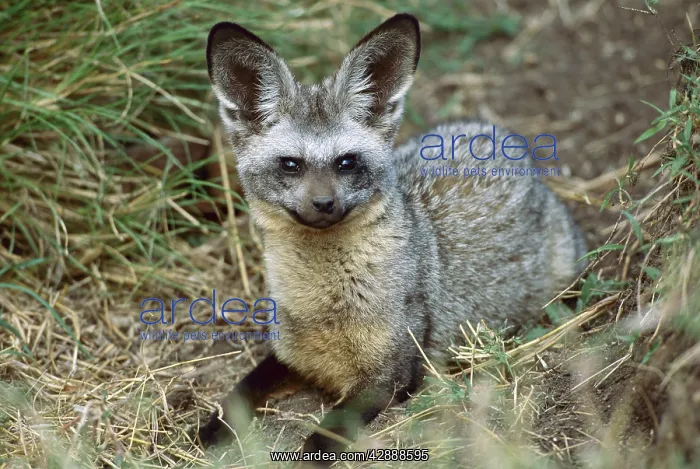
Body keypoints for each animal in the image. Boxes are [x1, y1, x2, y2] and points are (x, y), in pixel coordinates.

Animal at [196, 12, 587, 464]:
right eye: (290, 165)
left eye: (346, 162)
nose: (324, 204)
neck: (327, 308)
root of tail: (503, 137)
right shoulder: (288, 355)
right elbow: (239, 394)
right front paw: (212, 425)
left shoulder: (393, 375)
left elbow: (321, 436)